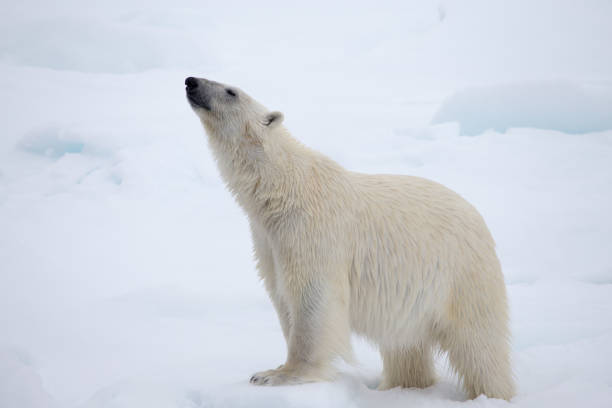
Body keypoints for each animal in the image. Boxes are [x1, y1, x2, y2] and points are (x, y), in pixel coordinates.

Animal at [185, 75, 516, 398]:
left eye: (231, 91)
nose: (191, 81)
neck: (285, 188)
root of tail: (478, 218)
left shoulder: (312, 231)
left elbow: (313, 298)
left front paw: (278, 375)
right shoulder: (268, 240)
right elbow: (282, 296)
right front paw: (273, 368)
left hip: (462, 276)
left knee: (479, 344)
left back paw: (491, 392)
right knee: (405, 345)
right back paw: (400, 385)